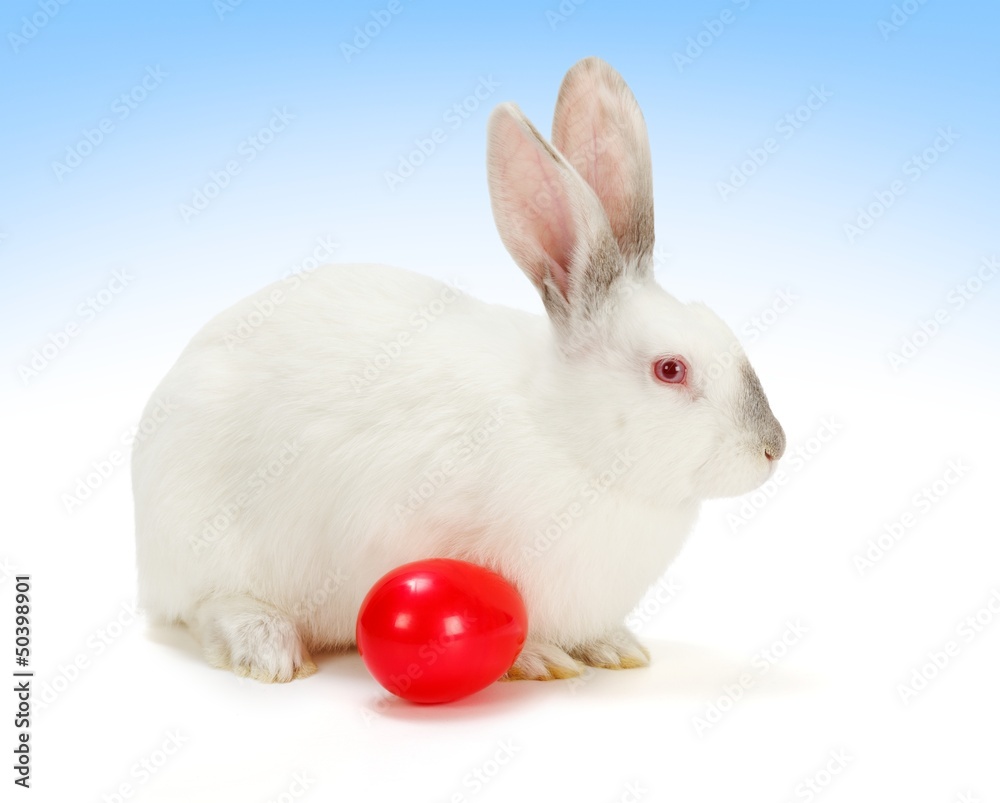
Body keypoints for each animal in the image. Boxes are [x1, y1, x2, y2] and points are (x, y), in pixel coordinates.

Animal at [132, 56, 786, 684]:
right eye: (670, 369)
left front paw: (614, 648)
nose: (773, 448)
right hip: (202, 538)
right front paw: (538, 659)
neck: (567, 438)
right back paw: (269, 649)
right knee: (206, 606)